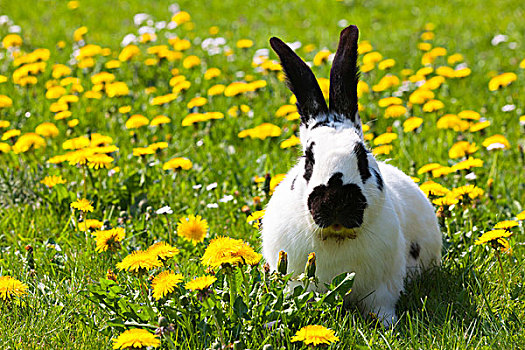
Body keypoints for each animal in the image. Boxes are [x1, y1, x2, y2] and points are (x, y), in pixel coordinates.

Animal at [260, 25, 440, 328]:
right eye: (308, 160)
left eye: (363, 157)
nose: (335, 200)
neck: (337, 238)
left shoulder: (382, 289)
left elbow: (381, 307)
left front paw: (388, 326)